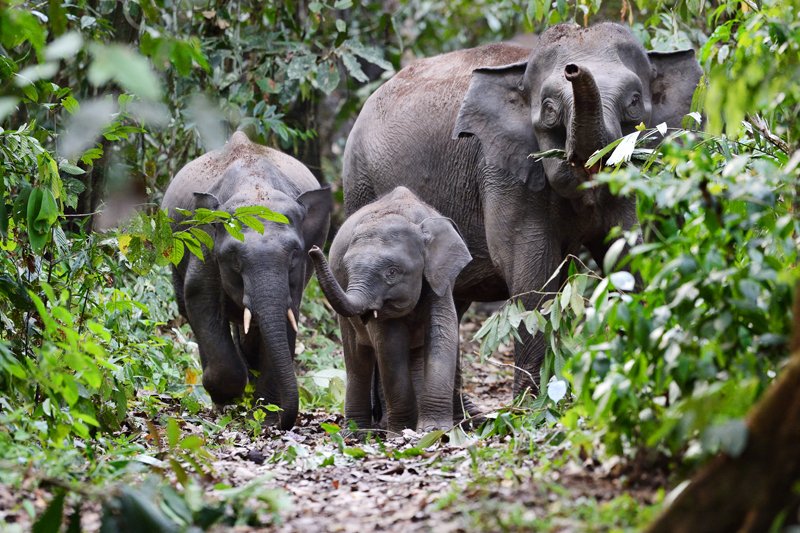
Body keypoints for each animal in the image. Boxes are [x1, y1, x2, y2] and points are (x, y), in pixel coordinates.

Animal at [161, 131, 332, 429]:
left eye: (295, 254)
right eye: (234, 257)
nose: (283, 423)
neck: (254, 186)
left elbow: (286, 313)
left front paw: (265, 416)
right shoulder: (204, 244)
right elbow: (199, 297)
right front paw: (227, 399)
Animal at [308, 186, 472, 433]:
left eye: (392, 272)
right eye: (346, 269)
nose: (314, 249)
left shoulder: (440, 279)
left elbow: (443, 333)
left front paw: (433, 430)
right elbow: (390, 345)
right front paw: (400, 432)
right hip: (345, 322)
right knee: (357, 360)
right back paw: (356, 432)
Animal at [342, 22, 703, 397]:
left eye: (633, 103)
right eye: (549, 108)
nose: (573, 69)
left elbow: (628, 255)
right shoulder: (502, 168)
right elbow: (531, 273)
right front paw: (534, 405)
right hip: (361, 183)